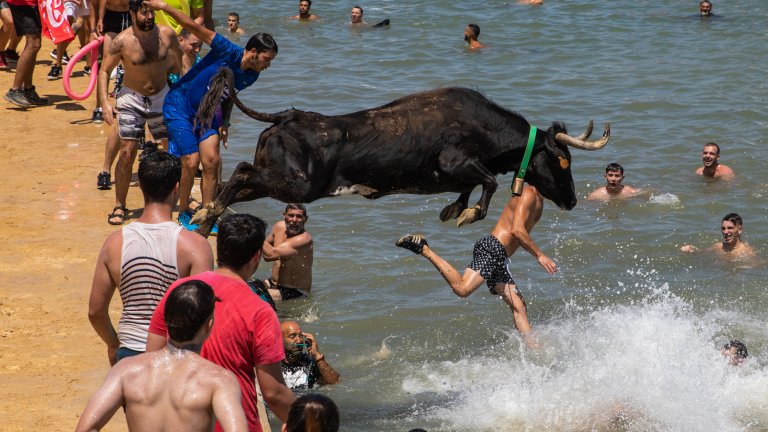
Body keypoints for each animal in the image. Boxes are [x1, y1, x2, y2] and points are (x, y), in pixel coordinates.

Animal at [190, 79, 608, 235]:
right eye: (562, 161)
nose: (572, 200)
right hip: (298, 184)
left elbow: (472, 186)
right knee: (241, 171)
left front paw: (455, 209)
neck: (485, 126)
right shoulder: (455, 162)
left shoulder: (457, 173)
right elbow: (487, 182)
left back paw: (206, 213)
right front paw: (469, 213)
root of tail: (287, 116)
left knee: (237, 180)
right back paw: (209, 210)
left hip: (282, 182)